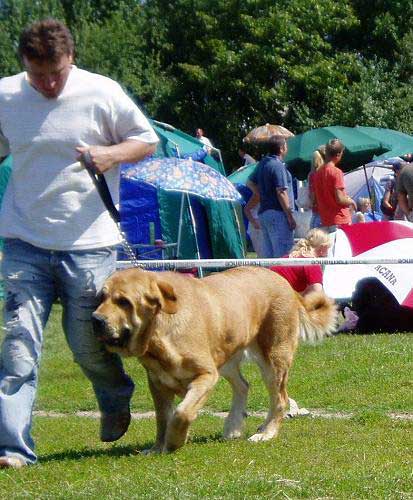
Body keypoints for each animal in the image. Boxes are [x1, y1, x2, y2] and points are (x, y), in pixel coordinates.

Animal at [91, 270, 336, 454]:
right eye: (101, 298)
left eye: (123, 302)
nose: (95, 319)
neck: (159, 333)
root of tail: (286, 284)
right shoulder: (157, 384)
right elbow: (162, 418)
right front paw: (157, 447)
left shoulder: (206, 375)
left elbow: (181, 413)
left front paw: (175, 441)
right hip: (226, 358)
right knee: (243, 386)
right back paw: (233, 427)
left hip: (273, 359)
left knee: (279, 399)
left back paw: (265, 433)